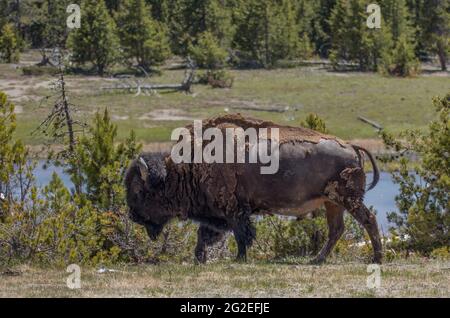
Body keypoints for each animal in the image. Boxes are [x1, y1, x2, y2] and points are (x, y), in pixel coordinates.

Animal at [126, 114, 384, 264]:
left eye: (139, 191)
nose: (133, 216)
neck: (190, 165)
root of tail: (352, 145)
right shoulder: (219, 215)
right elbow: (205, 235)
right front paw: (199, 259)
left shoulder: (234, 211)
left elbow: (241, 235)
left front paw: (239, 259)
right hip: (332, 202)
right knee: (336, 230)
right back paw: (317, 260)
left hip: (347, 199)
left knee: (368, 220)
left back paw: (376, 258)